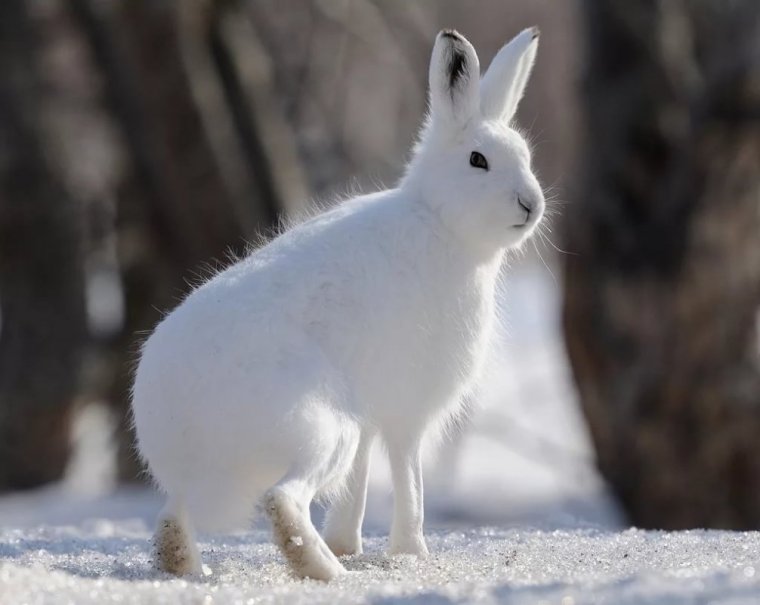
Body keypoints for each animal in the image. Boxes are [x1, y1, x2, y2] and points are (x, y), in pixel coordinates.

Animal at [131, 26, 544, 582]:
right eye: (478, 160)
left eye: (526, 156)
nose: (531, 204)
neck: (439, 219)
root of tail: (183, 433)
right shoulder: (405, 409)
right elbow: (409, 477)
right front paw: (412, 554)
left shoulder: (370, 420)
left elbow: (360, 483)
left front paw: (350, 543)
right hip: (323, 428)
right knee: (282, 501)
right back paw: (328, 572)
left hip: (310, 440)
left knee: (174, 518)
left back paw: (196, 568)